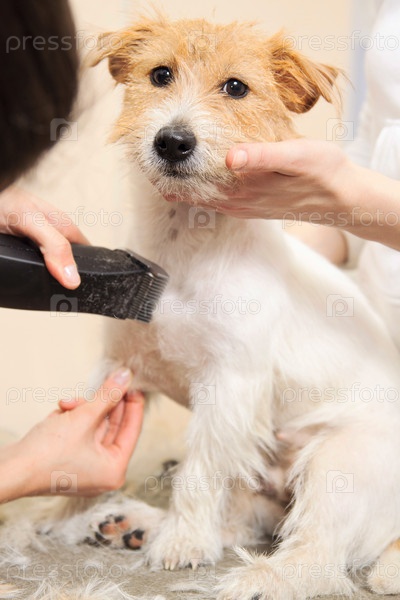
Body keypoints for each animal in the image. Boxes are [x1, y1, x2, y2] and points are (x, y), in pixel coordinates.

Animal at [57, 15, 400, 599]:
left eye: (236, 87)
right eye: (160, 74)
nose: (173, 141)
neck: (184, 247)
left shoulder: (229, 387)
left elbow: (198, 475)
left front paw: (181, 544)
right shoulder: (119, 364)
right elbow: (88, 427)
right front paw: (64, 514)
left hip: (339, 462)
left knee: (318, 555)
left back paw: (257, 578)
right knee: (247, 519)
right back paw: (134, 522)